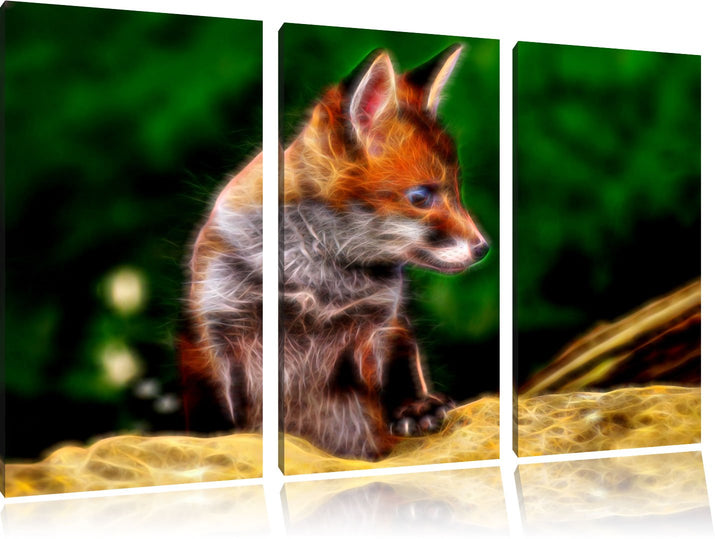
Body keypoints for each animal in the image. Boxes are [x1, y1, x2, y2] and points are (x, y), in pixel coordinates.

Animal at [180, 44, 490, 460]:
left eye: (456, 190)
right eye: (421, 197)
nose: (483, 248)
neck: (314, 281)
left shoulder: (383, 324)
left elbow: (399, 371)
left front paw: (415, 408)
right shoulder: (212, 332)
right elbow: (215, 416)